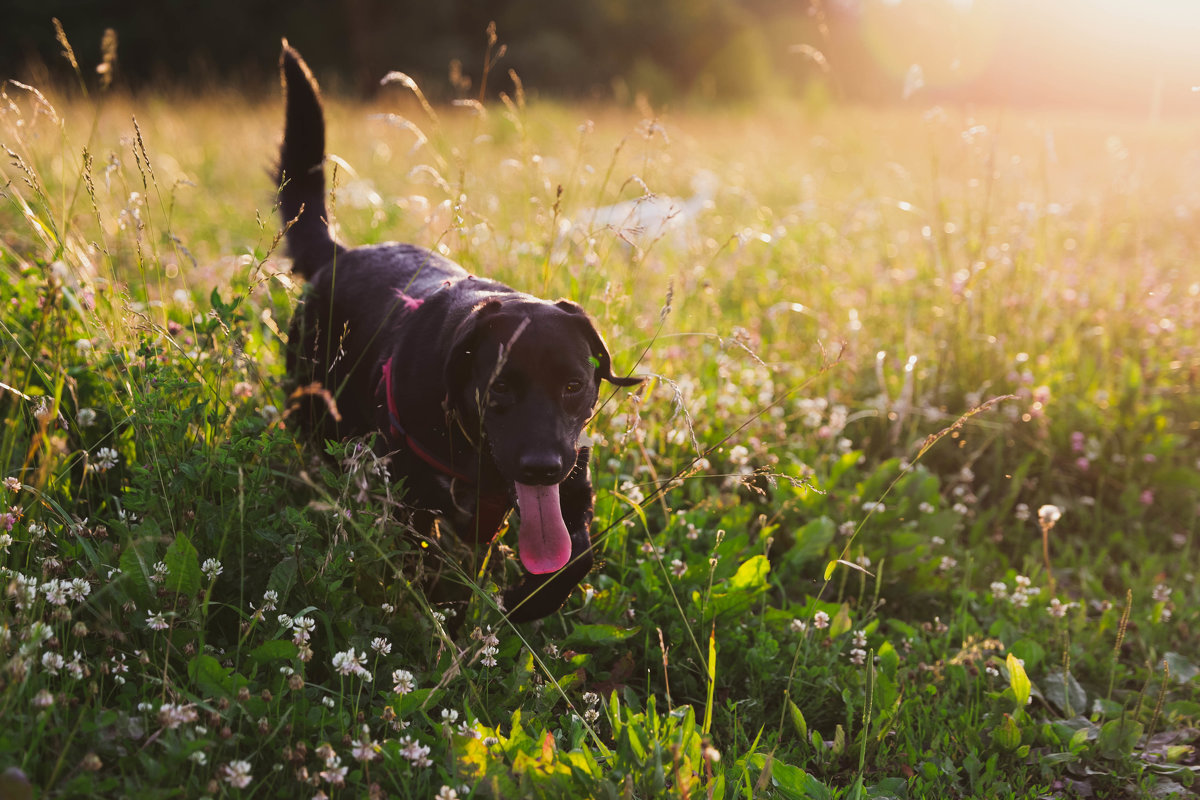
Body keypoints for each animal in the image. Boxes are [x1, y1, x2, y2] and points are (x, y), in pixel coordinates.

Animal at [277, 40, 643, 623]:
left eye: (573, 386)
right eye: (499, 388)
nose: (541, 468)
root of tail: (338, 255)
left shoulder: (573, 481)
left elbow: (574, 557)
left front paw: (522, 603)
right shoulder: (411, 497)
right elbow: (432, 572)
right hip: (316, 415)